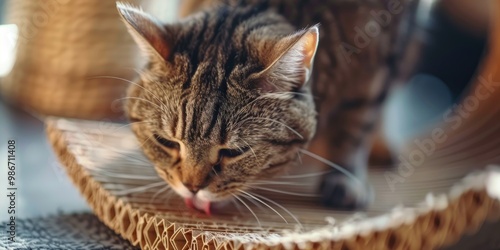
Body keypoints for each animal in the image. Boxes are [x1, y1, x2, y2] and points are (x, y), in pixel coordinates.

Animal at [117, 0, 418, 213]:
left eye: (234, 152)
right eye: (165, 142)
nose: (191, 188)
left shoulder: (378, 61)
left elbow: (355, 126)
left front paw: (345, 176)